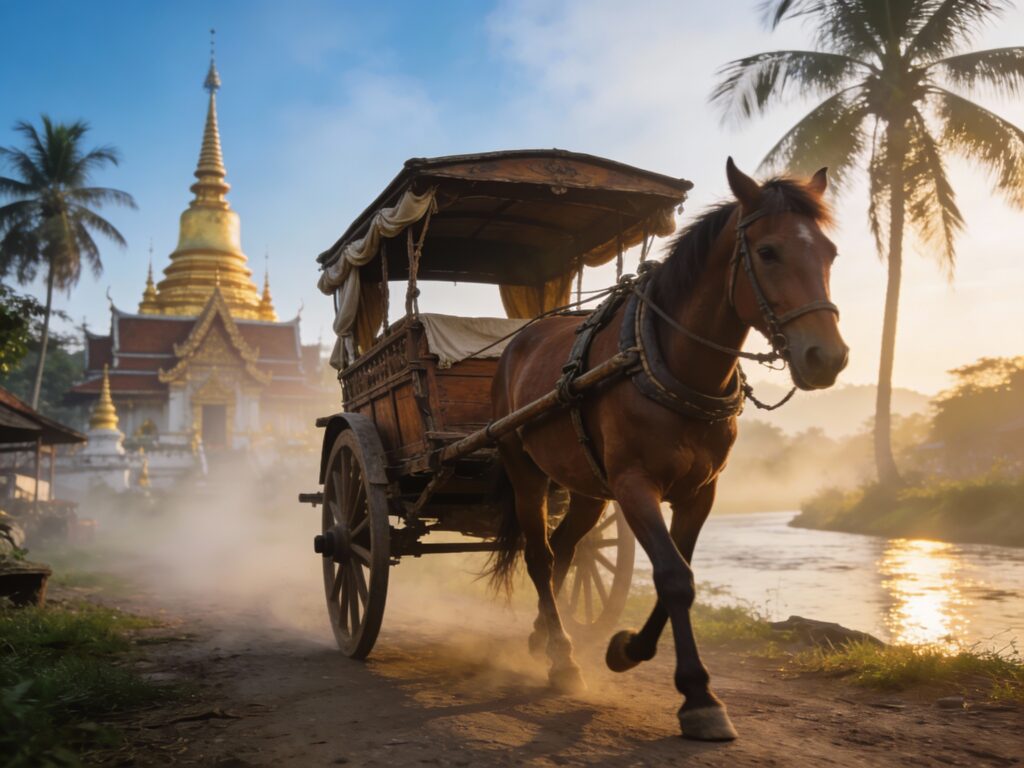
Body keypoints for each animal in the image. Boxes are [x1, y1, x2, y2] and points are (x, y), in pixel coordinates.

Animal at [489, 158, 848, 741]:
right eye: (768, 252)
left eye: (829, 252)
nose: (827, 356)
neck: (668, 362)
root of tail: (518, 341)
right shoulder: (636, 485)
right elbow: (675, 577)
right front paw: (697, 694)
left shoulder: (700, 492)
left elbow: (678, 573)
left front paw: (628, 649)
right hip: (524, 469)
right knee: (540, 557)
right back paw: (562, 657)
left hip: (587, 487)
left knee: (564, 548)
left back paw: (544, 637)